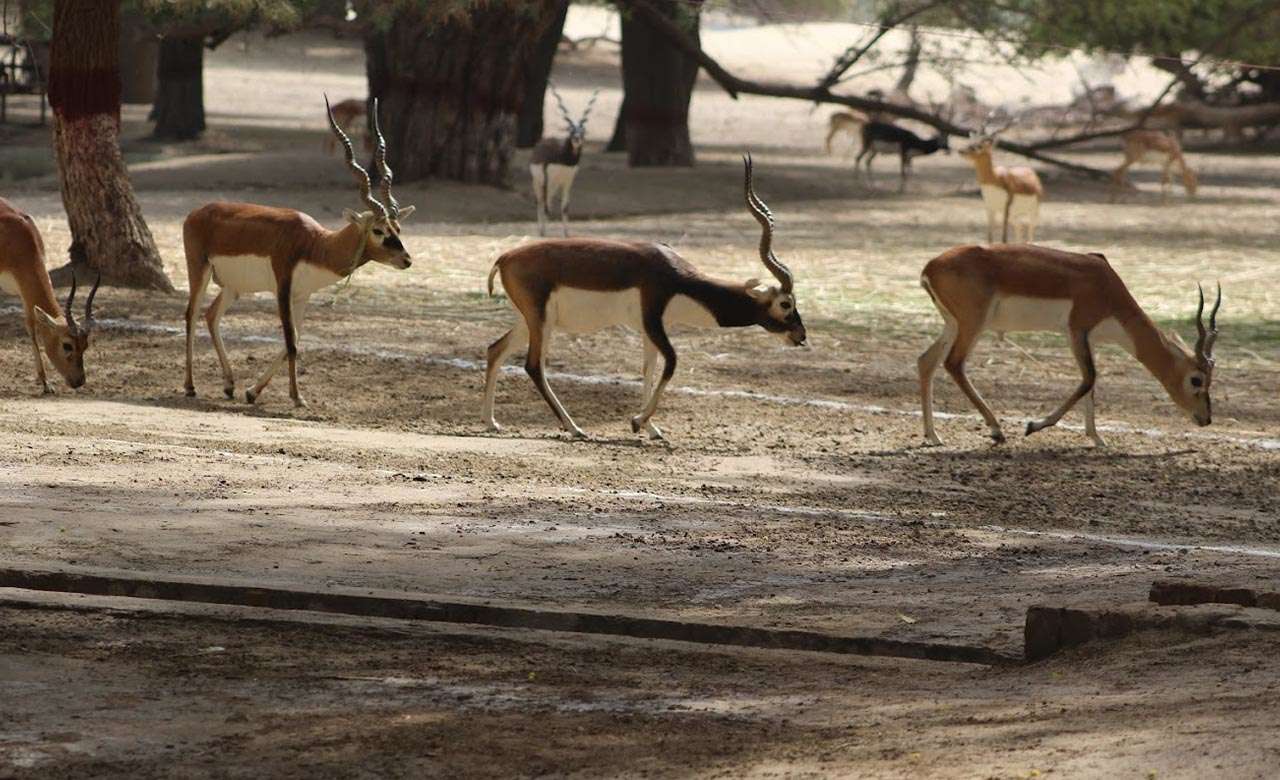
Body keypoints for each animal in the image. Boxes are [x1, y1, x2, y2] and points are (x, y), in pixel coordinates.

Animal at [0, 194, 100, 389]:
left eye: (85, 345)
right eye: (67, 345)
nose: (79, 381)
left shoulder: (24, 291)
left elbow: (31, 326)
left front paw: (46, 383)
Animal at [183, 96, 414, 407]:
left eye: (398, 228)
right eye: (378, 230)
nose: (407, 259)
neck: (316, 243)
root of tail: (196, 213)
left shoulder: (303, 295)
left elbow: (295, 339)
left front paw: (252, 391)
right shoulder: (282, 289)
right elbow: (291, 343)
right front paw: (297, 397)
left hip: (233, 287)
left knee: (210, 316)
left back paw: (229, 385)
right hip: (200, 270)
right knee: (191, 315)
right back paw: (190, 387)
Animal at [483, 154, 803, 440]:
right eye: (786, 303)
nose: (801, 335)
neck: (677, 278)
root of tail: (505, 257)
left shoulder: (650, 330)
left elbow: (649, 369)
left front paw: (651, 428)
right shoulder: (653, 320)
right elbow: (671, 362)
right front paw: (638, 421)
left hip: (530, 321)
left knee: (495, 349)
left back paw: (491, 422)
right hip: (542, 322)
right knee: (533, 366)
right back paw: (574, 428)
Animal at [524, 81, 599, 236]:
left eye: (583, 131)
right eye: (570, 130)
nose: (576, 138)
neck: (565, 159)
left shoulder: (568, 180)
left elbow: (565, 207)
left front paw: (567, 234)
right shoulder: (549, 178)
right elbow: (546, 206)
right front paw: (544, 233)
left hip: (555, 184)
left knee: (548, 201)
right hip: (539, 182)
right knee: (541, 202)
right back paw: (541, 231)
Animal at [921, 243, 1218, 450]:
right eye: (1196, 379)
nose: (1206, 419)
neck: (1106, 286)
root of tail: (930, 267)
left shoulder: (1090, 340)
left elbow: (1093, 386)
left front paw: (1097, 438)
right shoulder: (1076, 331)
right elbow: (1088, 380)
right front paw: (1033, 426)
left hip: (954, 325)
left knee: (926, 360)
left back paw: (933, 436)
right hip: (973, 325)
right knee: (953, 363)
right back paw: (996, 430)